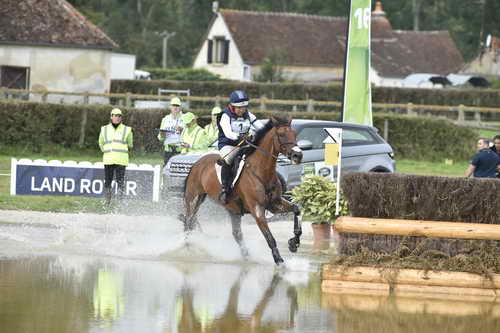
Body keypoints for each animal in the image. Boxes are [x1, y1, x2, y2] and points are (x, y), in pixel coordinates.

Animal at [182, 115, 302, 264]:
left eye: (294, 134)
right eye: (281, 134)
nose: (298, 156)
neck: (262, 172)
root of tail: (197, 163)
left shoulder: (275, 204)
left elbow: (296, 209)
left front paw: (294, 243)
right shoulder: (257, 210)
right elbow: (270, 238)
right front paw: (279, 260)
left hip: (231, 208)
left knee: (236, 233)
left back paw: (246, 255)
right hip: (192, 198)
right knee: (188, 221)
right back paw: (187, 246)